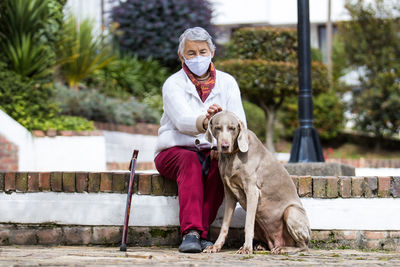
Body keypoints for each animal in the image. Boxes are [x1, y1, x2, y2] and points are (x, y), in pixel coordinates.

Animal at [203, 111, 310, 255]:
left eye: (232, 128)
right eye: (217, 128)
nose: (225, 146)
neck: (232, 156)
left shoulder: (252, 191)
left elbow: (248, 225)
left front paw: (246, 248)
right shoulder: (229, 192)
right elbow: (225, 225)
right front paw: (215, 246)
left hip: (291, 212)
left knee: (303, 246)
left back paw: (283, 248)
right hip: (260, 221)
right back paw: (261, 246)